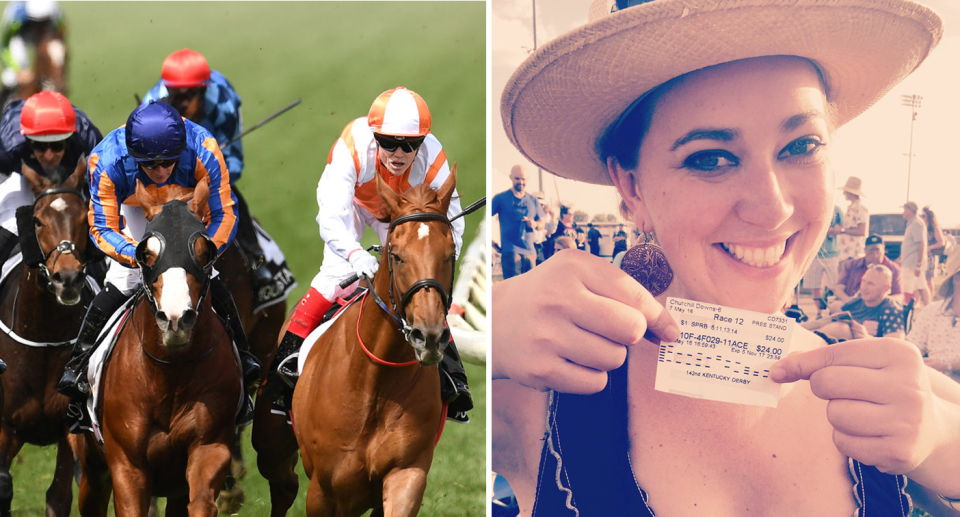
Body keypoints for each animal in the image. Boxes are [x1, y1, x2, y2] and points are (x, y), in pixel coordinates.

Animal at [0, 158, 93, 516]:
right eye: (38, 220)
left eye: (84, 218)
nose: (67, 278)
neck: (43, 336)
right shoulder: (5, 428)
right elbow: (3, 488)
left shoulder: (69, 426)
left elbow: (60, 496)